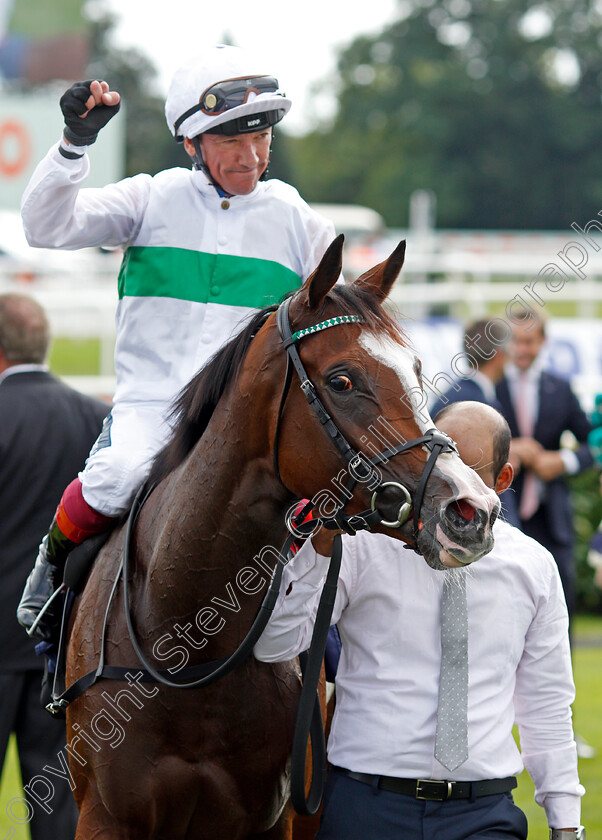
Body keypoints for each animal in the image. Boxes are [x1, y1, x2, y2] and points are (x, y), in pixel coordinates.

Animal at [63, 233, 500, 836]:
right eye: (342, 380)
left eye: (416, 369)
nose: (471, 510)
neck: (190, 641)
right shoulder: (107, 814)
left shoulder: (273, 820)